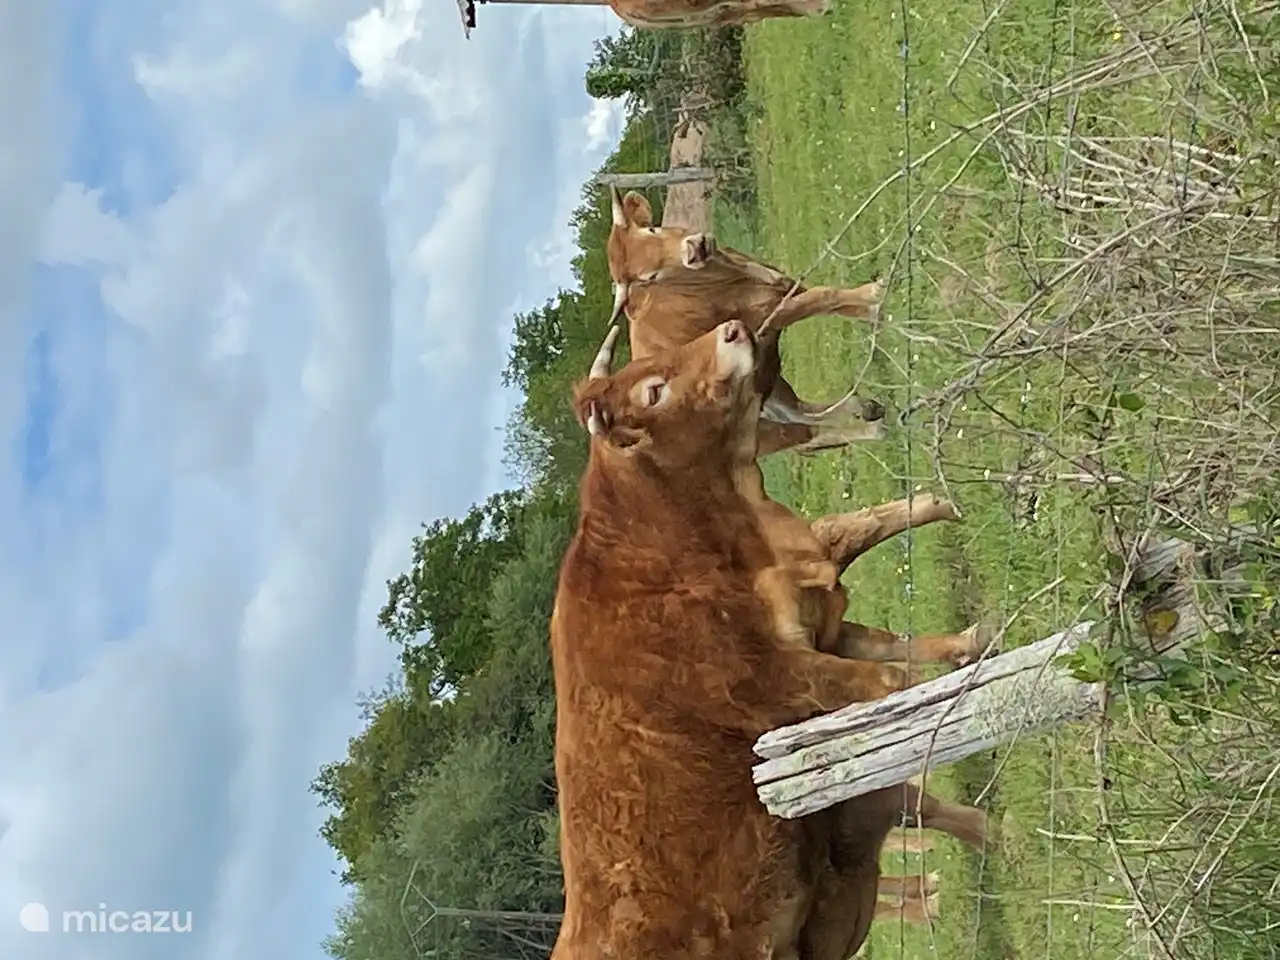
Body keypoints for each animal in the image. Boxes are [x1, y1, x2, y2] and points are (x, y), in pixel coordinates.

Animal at [550, 320, 990, 960]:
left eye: (653, 366)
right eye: (654, 391)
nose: (731, 329)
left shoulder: (825, 632)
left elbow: (898, 648)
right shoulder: (788, 679)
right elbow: (899, 696)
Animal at [604, 184, 889, 459]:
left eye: (651, 229)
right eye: (649, 277)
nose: (695, 249)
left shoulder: (786, 288)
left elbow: (831, 300)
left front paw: (867, 303)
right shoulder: (774, 313)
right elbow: (824, 296)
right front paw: (875, 298)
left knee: (800, 414)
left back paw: (865, 408)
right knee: (805, 433)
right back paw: (871, 427)